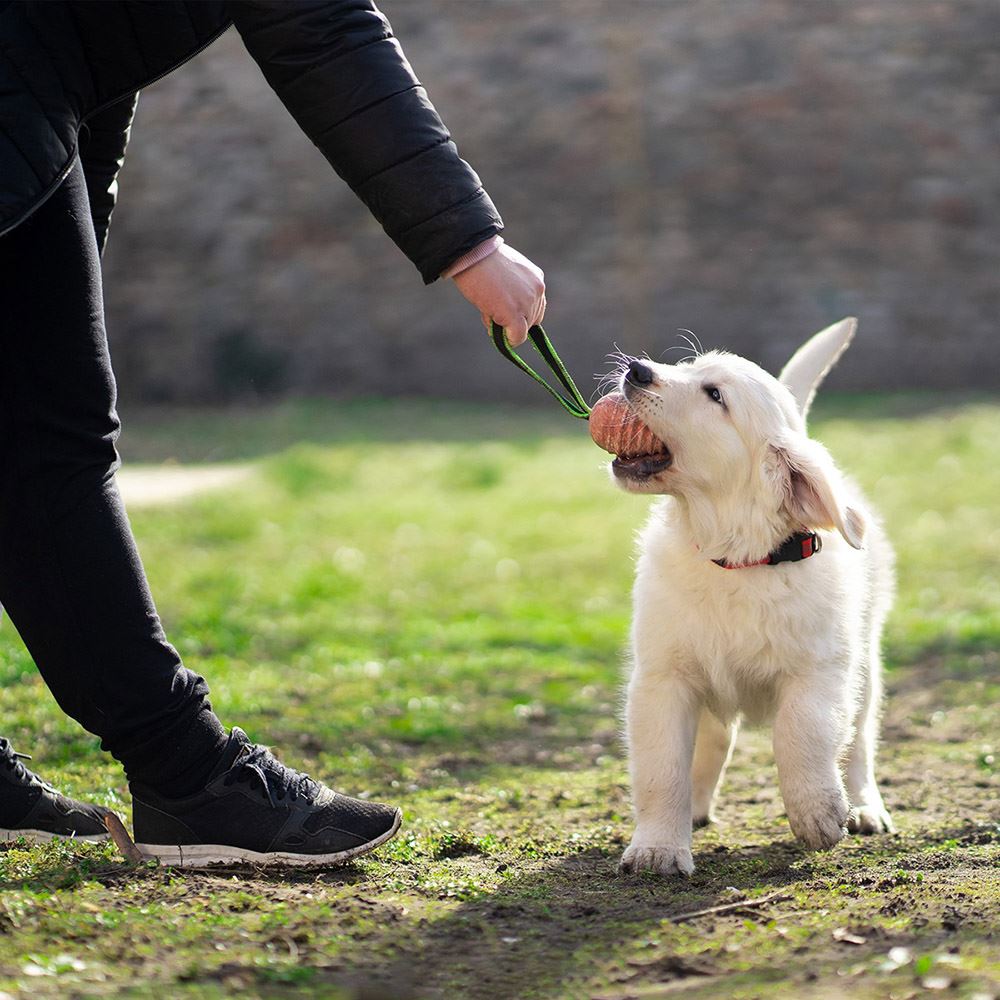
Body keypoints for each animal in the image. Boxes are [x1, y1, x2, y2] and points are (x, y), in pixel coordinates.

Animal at [592, 320, 900, 876]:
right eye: (688, 368)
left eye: (715, 396)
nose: (637, 369)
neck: (733, 559)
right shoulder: (663, 678)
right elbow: (662, 767)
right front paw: (657, 848)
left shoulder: (820, 670)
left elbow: (800, 734)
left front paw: (818, 813)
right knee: (715, 738)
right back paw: (694, 808)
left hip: (866, 664)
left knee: (861, 741)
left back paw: (866, 806)